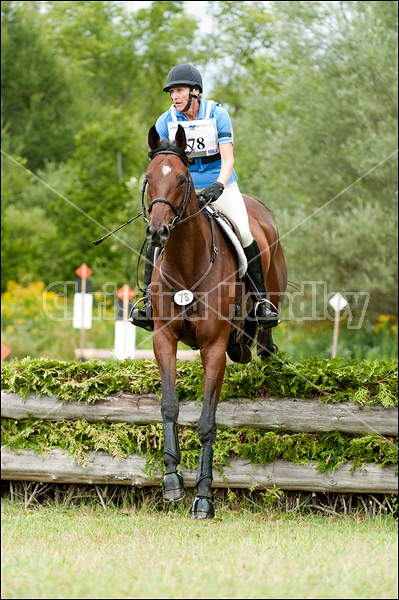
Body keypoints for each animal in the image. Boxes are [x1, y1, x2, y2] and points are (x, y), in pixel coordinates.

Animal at [144, 124, 288, 516]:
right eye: (148, 178)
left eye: (182, 179)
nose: (158, 233)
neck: (186, 262)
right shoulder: (163, 339)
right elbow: (169, 405)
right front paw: (172, 481)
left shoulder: (213, 348)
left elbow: (207, 421)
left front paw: (204, 497)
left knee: (265, 343)